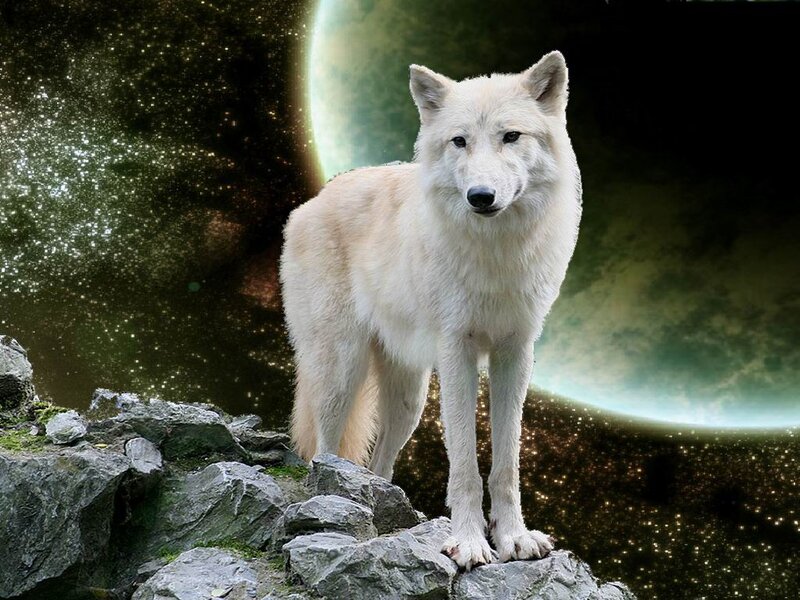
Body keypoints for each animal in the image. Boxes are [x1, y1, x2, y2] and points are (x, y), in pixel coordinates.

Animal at [280, 51, 582, 570]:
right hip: (342, 372)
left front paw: (514, 539)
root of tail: (313, 202)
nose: (480, 197)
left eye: (511, 136)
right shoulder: (457, 351)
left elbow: (506, 463)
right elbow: (464, 463)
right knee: (324, 448)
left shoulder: (515, 352)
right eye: (459, 141)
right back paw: (328, 502)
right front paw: (470, 542)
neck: (496, 254)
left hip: (409, 401)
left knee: (380, 462)